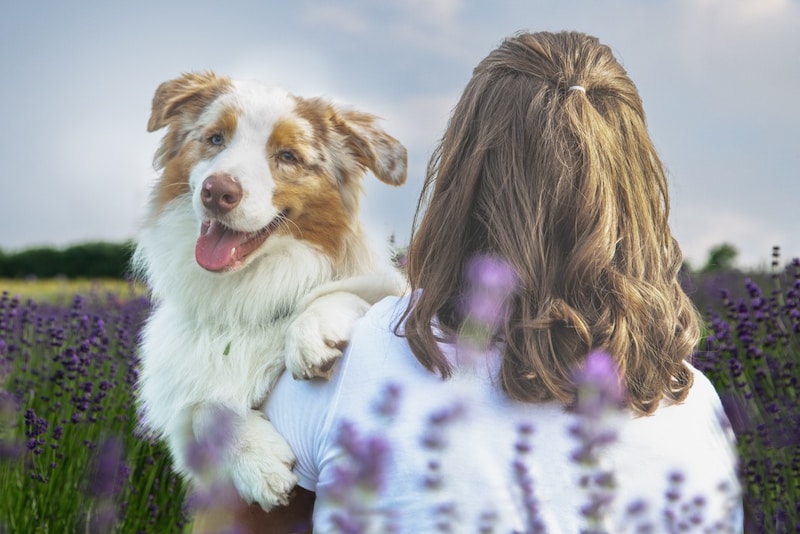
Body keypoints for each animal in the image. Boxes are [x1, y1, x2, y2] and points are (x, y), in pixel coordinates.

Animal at [134, 71, 406, 510]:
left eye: (289, 156)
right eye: (215, 138)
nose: (217, 191)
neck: (248, 293)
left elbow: (346, 293)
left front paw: (312, 334)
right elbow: (205, 406)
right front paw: (259, 463)